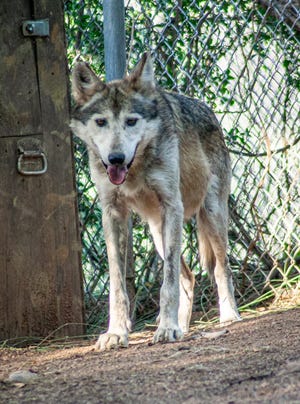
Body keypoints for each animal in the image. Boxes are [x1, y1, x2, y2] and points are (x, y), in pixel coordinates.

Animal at [69, 53, 239, 350]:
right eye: (101, 122)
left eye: (131, 121)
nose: (115, 158)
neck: (135, 170)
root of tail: (208, 110)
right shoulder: (112, 213)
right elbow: (118, 284)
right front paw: (116, 332)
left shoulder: (172, 205)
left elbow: (167, 280)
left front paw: (167, 327)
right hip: (158, 232)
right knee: (188, 277)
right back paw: (182, 325)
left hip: (210, 218)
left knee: (221, 268)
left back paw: (228, 316)